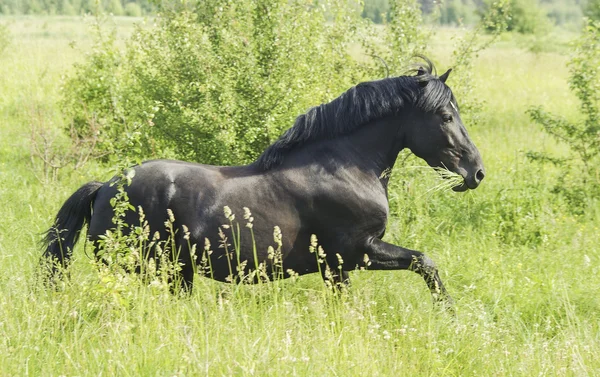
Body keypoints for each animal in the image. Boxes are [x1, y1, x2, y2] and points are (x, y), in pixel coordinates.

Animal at [41, 60, 482, 302]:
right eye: (446, 116)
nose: (475, 172)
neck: (346, 167)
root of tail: (105, 188)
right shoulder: (357, 252)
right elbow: (425, 263)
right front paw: (449, 314)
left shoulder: (337, 267)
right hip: (144, 267)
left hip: (177, 273)